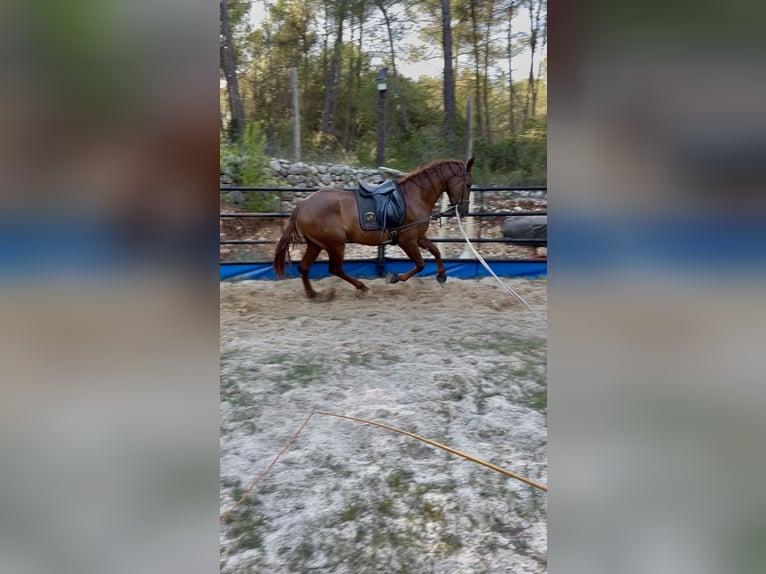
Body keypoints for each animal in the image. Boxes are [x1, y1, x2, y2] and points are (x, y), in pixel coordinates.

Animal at [273, 157, 475, 298]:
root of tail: (301, 205)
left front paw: (442, 275)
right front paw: (394, 277)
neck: (415, 196)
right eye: (468, 184)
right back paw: (362, 287)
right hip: (335, 244)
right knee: (335, 269)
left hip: (316, 244)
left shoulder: (418, 237)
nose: (464, 210)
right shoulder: (407, 241)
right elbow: (421, 264)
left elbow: (436, 251)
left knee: (305, 268)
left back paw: (313, 294)